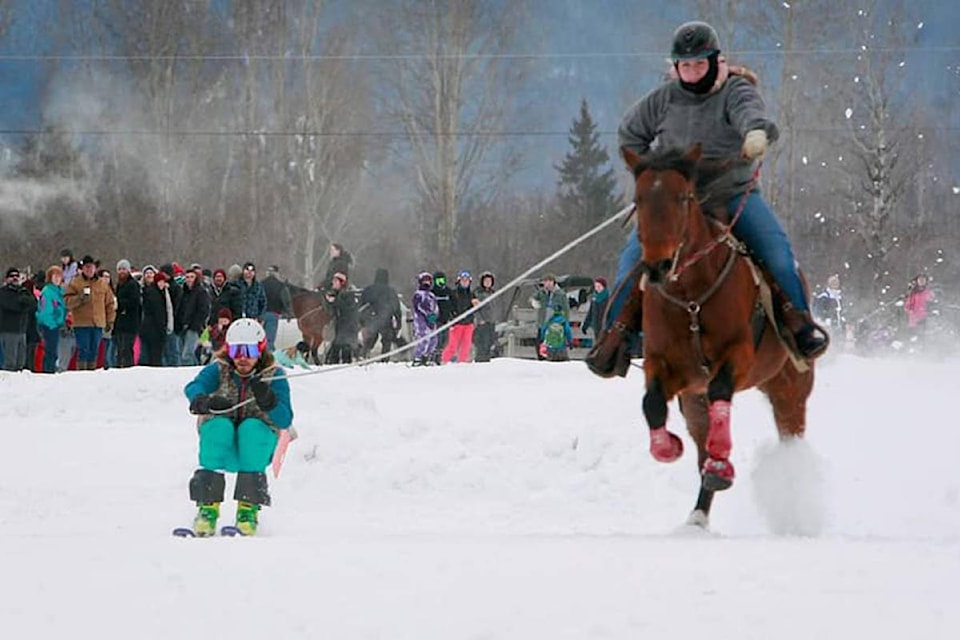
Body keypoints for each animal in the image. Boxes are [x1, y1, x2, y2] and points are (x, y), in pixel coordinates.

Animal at [624, 144, 816, 524]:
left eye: (683, 197)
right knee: (701, 440)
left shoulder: (738, 353)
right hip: (694, 402)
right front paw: (667, 448)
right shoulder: (663, 363)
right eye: (638, 198)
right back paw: (699, 512)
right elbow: (651, 402)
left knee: (790, 429)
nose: (658, 266)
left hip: (790, 386)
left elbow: (721, 389)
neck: (690, 298)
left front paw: (720, 460)